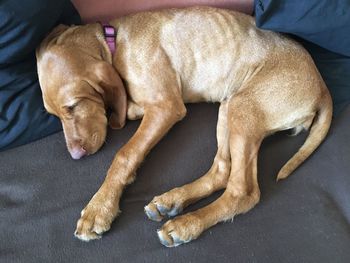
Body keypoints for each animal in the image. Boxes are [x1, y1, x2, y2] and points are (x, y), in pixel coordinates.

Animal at [36, 7, 334, 249]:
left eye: (73, 106)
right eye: (54, 114)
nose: (76, 155)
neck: (115, 42)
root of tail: (323, 88)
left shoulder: (166, 107)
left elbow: (125, 154)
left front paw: (99, 208)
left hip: (243, 108)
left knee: (243, 191)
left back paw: (186, 225)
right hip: (229, 105)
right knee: (222, 171)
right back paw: (174, 201)